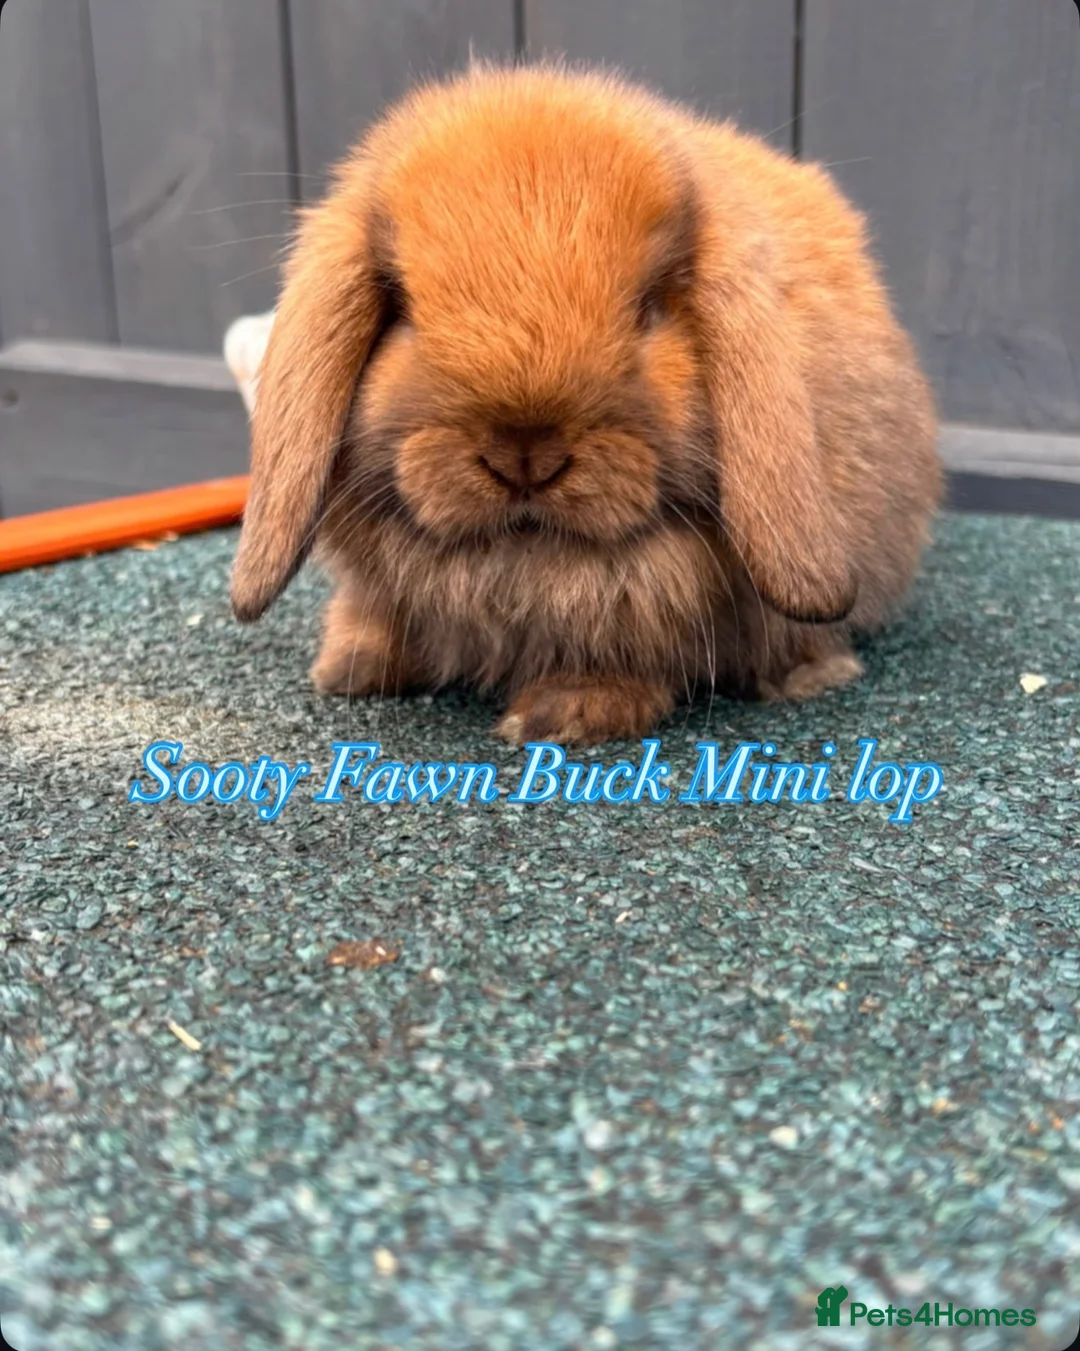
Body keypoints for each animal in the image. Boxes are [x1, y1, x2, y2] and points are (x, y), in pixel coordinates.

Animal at [229, 60, 942, 747]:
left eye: (649, 308)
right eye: (400, 305)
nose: (524, 457)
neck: (525, 567)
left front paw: (561, 716)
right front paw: (347, 669)